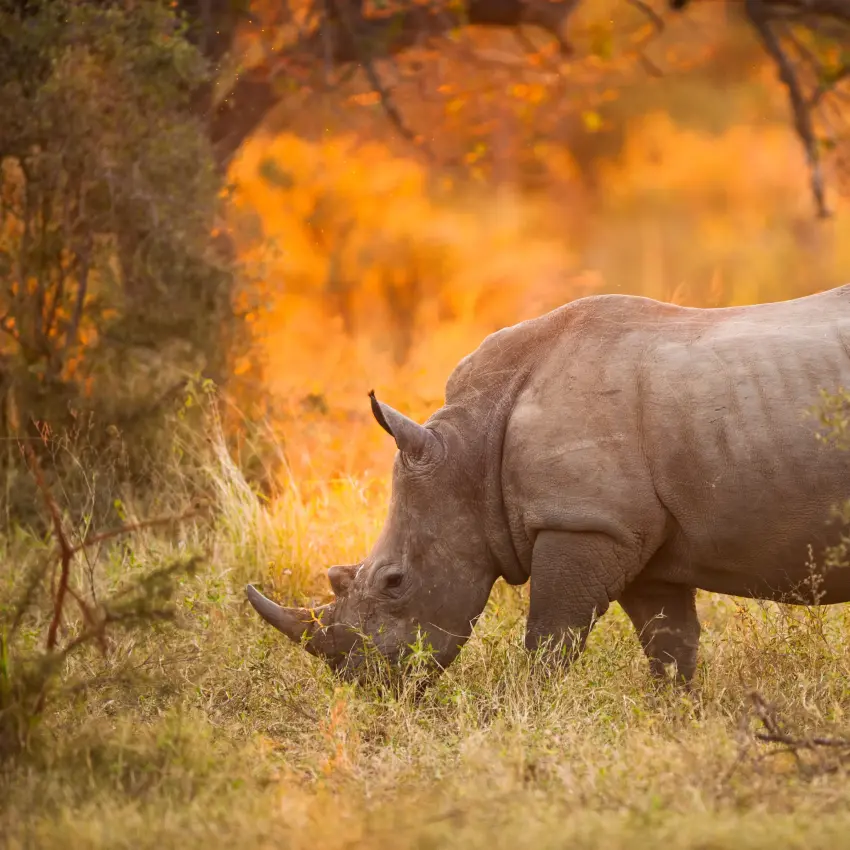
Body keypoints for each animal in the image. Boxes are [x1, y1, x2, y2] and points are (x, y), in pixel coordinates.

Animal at [247, 284, 850, 684]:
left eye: (395, 583)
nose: (364, 681)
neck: (472, 448)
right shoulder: (629, 531)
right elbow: (669, 641)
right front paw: (674, 715)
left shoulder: (583, 521)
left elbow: (551, 636)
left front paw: (529, 708)